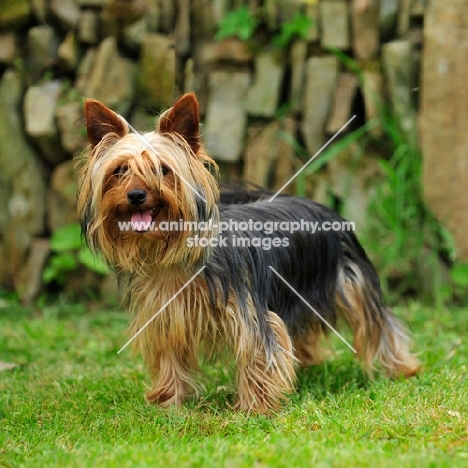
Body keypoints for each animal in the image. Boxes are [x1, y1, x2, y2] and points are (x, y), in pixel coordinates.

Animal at [77, 93, 420, 412]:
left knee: (378, 322)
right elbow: (169, 355)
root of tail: (321, 204)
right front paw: (168, 401)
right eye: (119, 170)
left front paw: (255, 407)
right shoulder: (165, 315)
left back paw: (402, 368)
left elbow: (257, 352)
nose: (136, 195)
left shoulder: (248, 313)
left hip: (350, 280)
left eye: (163, 169)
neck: (173, 258)